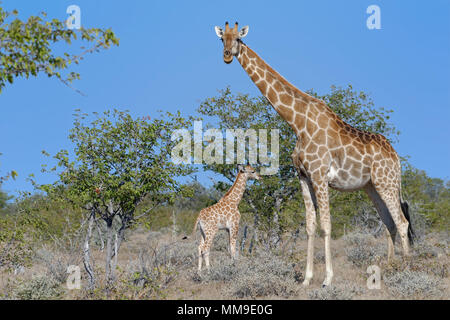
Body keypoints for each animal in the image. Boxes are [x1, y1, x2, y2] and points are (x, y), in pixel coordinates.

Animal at [215, 23, 414, 288]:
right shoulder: (303, 176)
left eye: (237, 38)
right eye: (221, 39)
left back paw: (406, 271)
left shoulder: (320, 176)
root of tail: (396, 157)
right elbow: (310, 225)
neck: (297, 123)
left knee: (402, 222)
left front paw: (327, 279)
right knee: (390, 223)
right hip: (372, 187)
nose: (227, 55)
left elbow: (326, 225)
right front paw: (307, 279)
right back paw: (388, 270)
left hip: (387, 182)